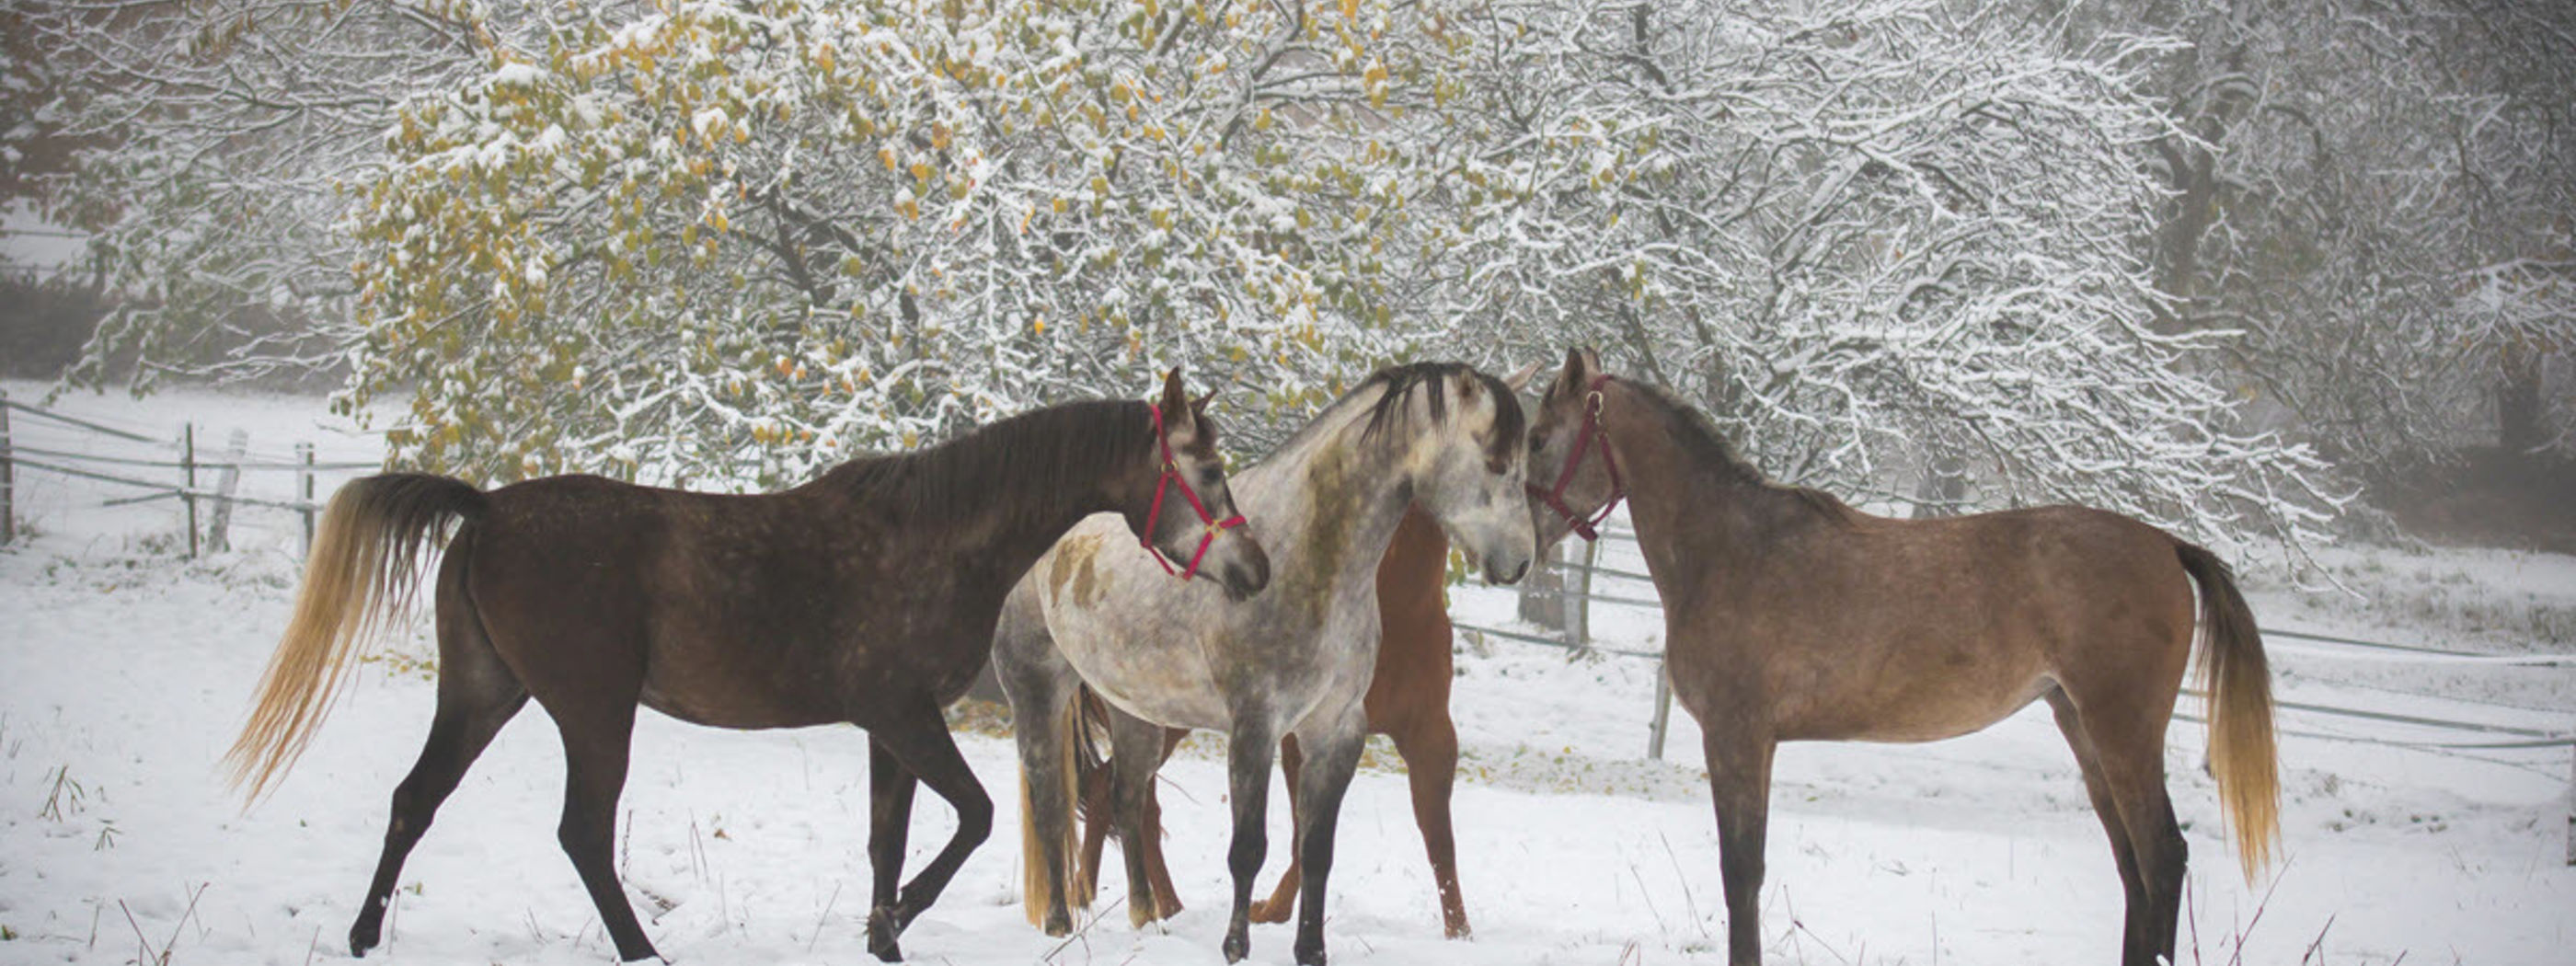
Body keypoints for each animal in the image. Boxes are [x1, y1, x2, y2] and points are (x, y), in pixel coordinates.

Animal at [1066, 507, 1473, 937]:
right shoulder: (1298, 737)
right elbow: (1302, 834)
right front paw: (1272, 912)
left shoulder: (1430, 737)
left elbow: (1439, 838)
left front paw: (1459, 932)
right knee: (1114, 791)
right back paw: (1101, 900)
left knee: (1121, 795)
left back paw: (1144, 904)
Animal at [1514, 348, 2287, 966]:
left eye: (1541, 437)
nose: (1514, 555)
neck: (1733, 549)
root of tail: (2165, 544)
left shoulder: (1738, 738)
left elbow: (1742, 873)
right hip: (2082, 727)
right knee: (2133, 869)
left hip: (2122, 732)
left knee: (2162, 858)